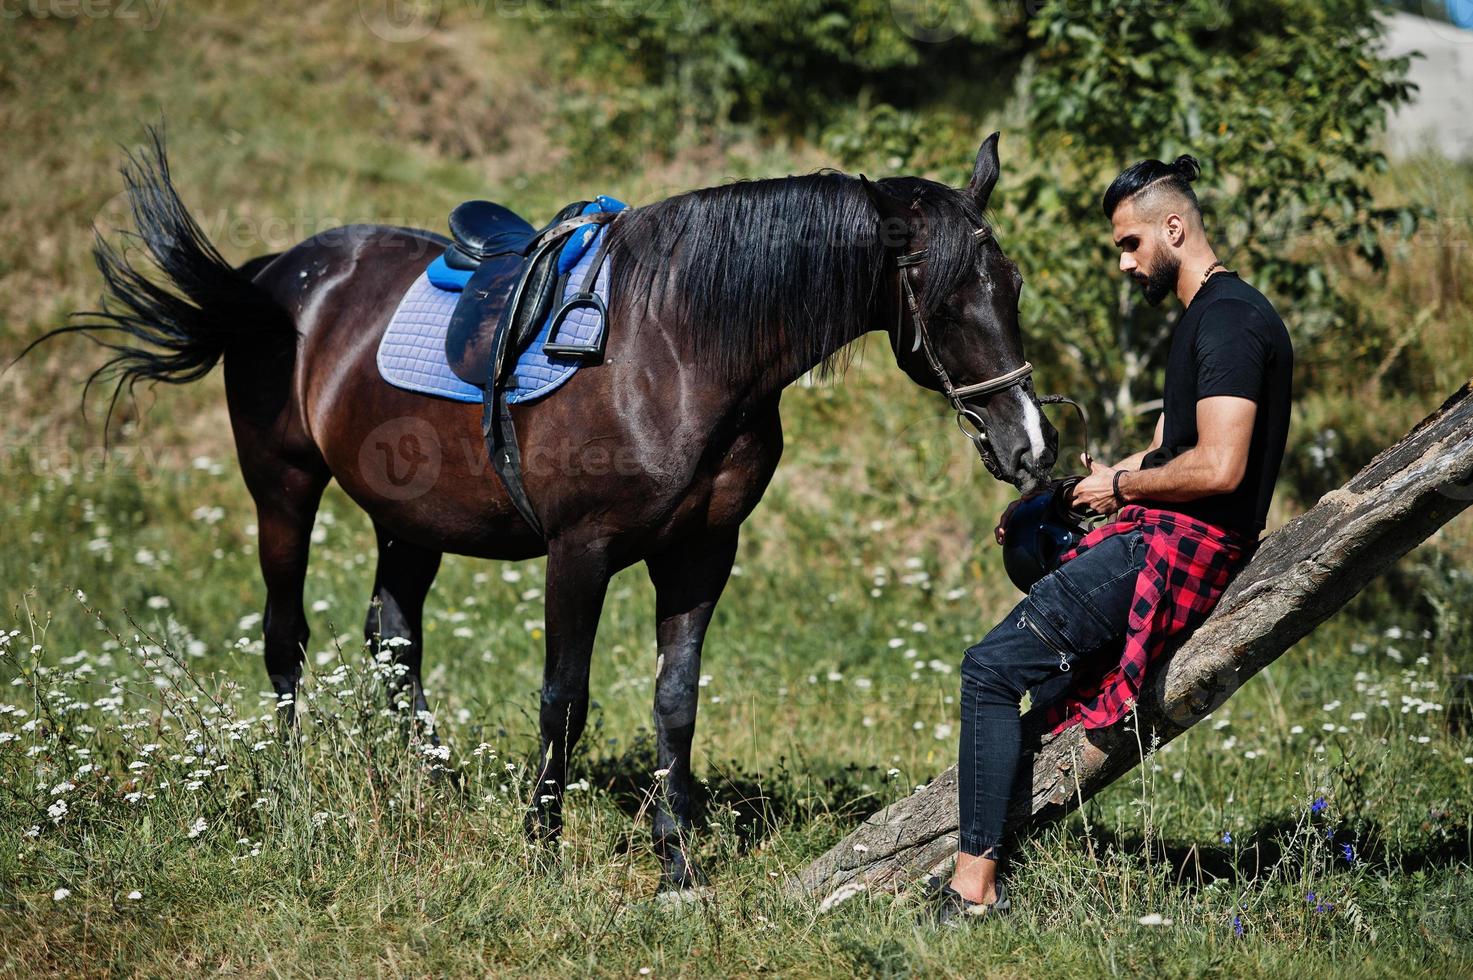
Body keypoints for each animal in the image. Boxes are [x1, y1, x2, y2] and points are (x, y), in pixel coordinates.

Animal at [48, 129, 1060, 884]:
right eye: (946, 298)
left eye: (1010, 288)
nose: (1028, 446)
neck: (678, 345)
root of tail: (274, 275)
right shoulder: (583, 550)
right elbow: (563, 699)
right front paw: (542, 851)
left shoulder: (702, 552)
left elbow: (675, 700)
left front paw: (676, 863)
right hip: (282, 487)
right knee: (285, 637)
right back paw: (295, 787)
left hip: (408, 520)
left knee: (391, 638)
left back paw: (439, 790)